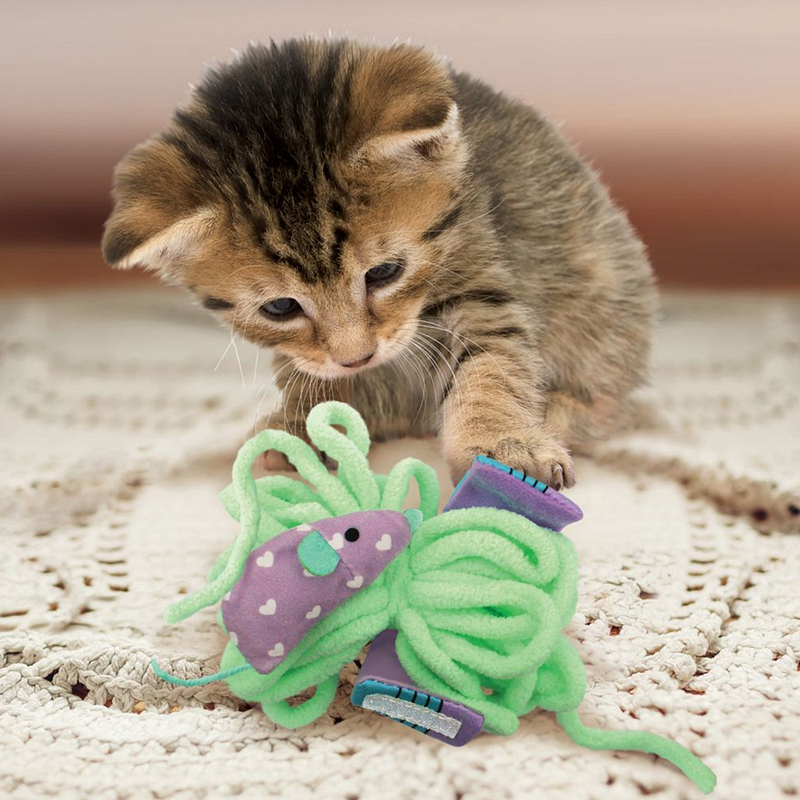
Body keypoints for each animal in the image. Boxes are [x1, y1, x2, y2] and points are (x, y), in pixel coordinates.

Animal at [103, 39, 656, 488]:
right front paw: (304, 424)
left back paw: (561, 411)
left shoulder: (481, 272)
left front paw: (504, 443)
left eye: (384, 273)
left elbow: (492, 361)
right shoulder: (310, 353)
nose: (358, 357)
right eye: (281, 308)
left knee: (611, 403)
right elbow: (311, 372)